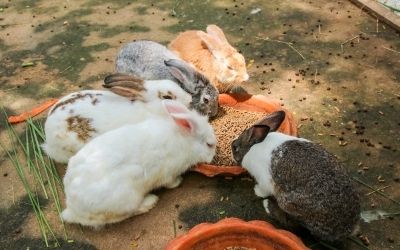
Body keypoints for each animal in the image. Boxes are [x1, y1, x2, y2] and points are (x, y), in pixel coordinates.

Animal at [61, 99, 217, 227]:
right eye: (209, 145)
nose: (214, 156)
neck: (185, 141)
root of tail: (72, 209)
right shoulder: (168, 173)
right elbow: (170, 183)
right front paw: (179, 181)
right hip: (127, 198)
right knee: (124, 214)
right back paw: (150, 201)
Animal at [231, 111, 360, 242]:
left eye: (235, 148)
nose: (232, 148)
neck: (252, 147)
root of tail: (346, 229)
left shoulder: (264, 181)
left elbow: (263, 190)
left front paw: (257, 191)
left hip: (288, 203)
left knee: (296, 227)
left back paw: (268, 206)